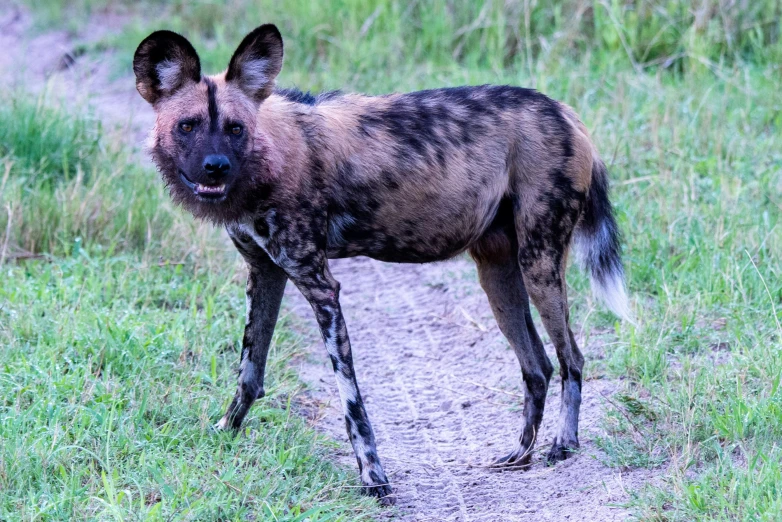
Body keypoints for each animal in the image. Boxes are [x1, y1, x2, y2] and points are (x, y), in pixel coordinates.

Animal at [133, 24, 632, 504]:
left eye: (236, 128)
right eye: (188, 126)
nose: (215, 167)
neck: (267, 156)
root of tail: (565, 112)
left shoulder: (320, 286)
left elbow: (352, 402)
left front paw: (374, 479)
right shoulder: (266, 274)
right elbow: (250, 374)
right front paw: (225, 433)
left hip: (539, 266)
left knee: (571, 358)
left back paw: (563, 446)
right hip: (498, 277)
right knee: (538, 367)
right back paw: (520, 454)